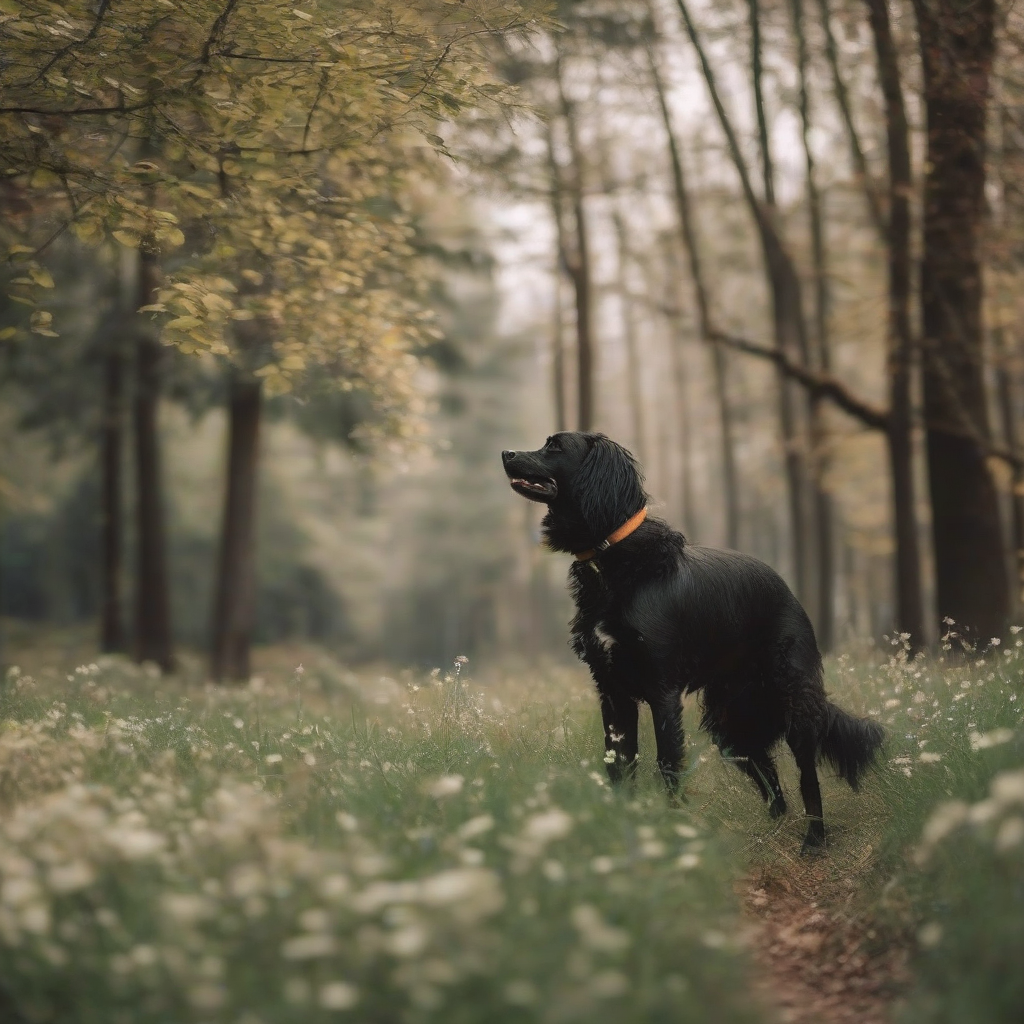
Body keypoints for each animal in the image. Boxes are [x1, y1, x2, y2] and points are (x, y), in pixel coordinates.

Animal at [501, 428, 880, 851]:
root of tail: (789, 593)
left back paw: (814, 841)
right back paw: (768, 835)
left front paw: (673, 831)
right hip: (731, 723)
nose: (505, 453)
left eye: (555, 445)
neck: (612, 557)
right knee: (769, 779)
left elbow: (667, 763)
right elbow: (619, 764)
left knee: (806, 777)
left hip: (793, 702)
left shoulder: (662, 691)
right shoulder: (612, 690)